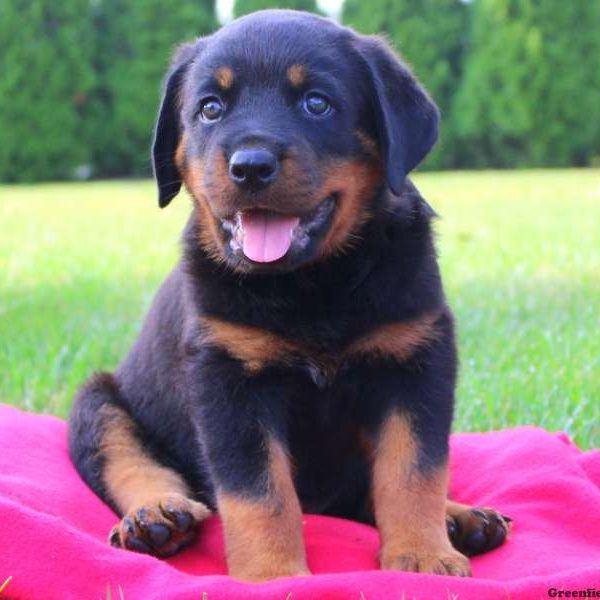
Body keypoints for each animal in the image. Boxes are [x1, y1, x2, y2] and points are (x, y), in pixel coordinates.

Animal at [70, 8, 510, 580]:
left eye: (316, 103)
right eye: (210, 109)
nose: (250, 166)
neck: (311, 284)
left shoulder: (414, 359)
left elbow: (413, 470)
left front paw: (422, 555)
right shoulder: (229, 379)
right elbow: (259, 492)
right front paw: (273, 576)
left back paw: (460, 517)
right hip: (96, 402)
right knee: (129, 459)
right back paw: (155, 516)